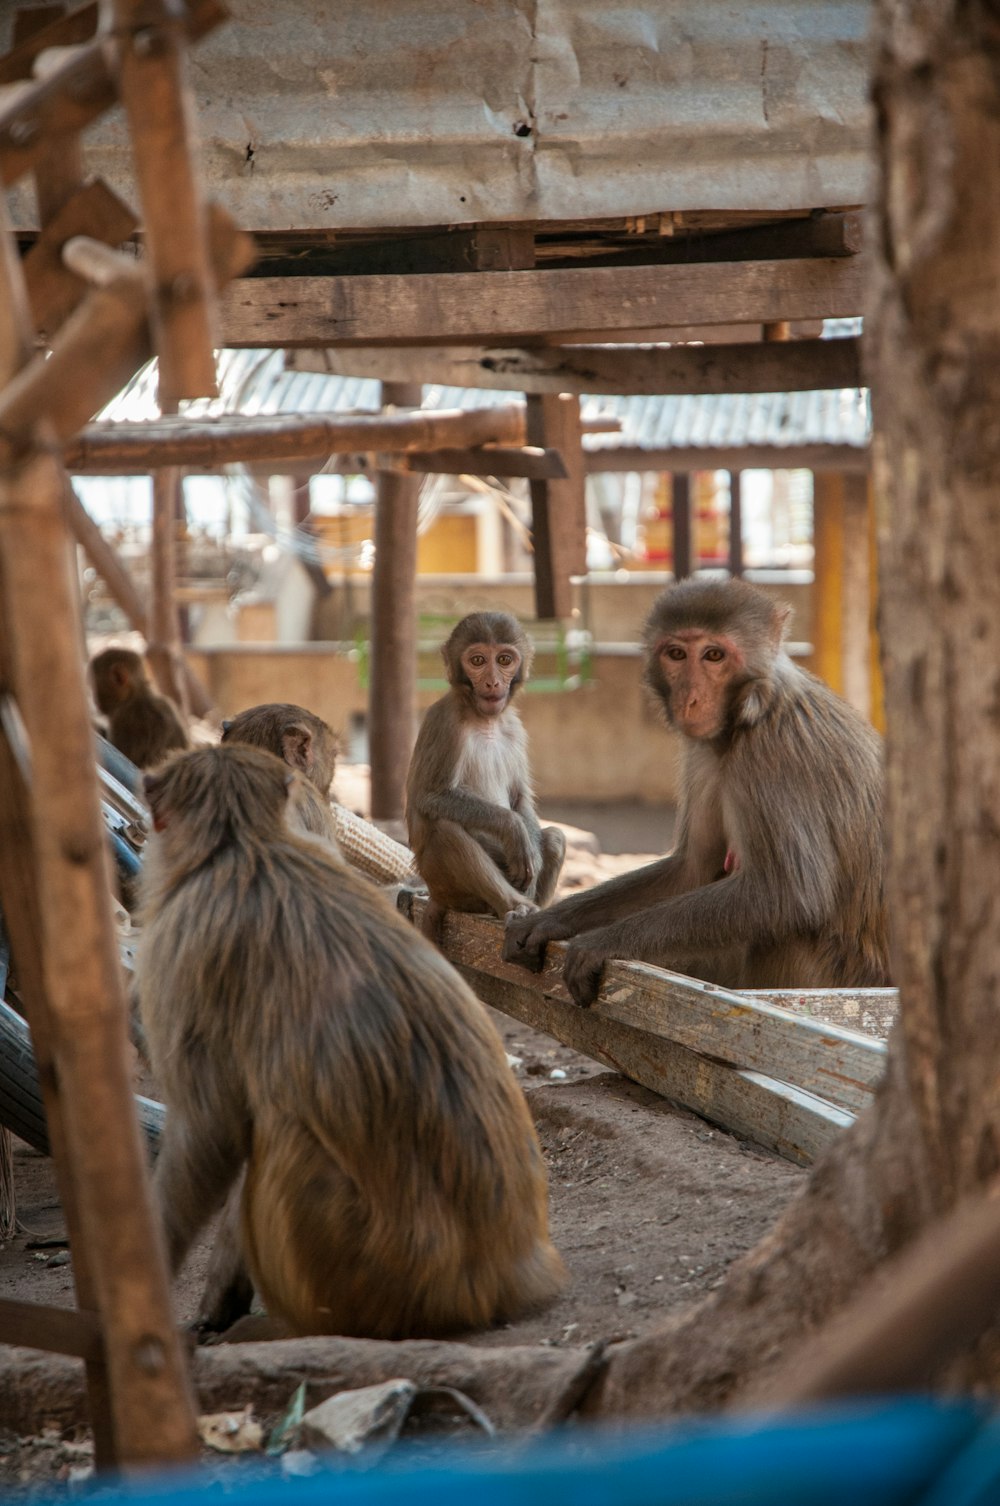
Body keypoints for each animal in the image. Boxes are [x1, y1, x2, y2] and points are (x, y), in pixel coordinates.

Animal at [88, 641, 188, 771]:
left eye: (94, 686)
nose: (95, 700)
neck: (137, 695)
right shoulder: (166, 704)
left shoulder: (122, 717)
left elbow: (123, 754)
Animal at [137, 743, 566, 1343]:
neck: (247, 844)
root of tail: (504, 1277)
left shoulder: (184, 945)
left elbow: (208, 1131)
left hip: (367, 1276)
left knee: (280, 1132)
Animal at [403, 611, 563, 939]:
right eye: (477, 660)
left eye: (504, 659)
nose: (492, 682)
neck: (483, 718)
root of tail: (437, 895)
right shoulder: (444, 721)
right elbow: (429, 796)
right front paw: (512, 828)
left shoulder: (515, 727)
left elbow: (519, 799)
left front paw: (533, 857)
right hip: (445, 885)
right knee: (446, 831)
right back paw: (513, 905)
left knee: (554, 838)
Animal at [503, 575, 885, 1012]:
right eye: (676, 654)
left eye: (714, 655)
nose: (690, 699)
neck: (748, 711)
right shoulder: (702, 752)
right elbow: (694, 866)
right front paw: (549, 919)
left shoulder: (775, 754)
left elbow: (790, 893)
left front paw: (600, 943)